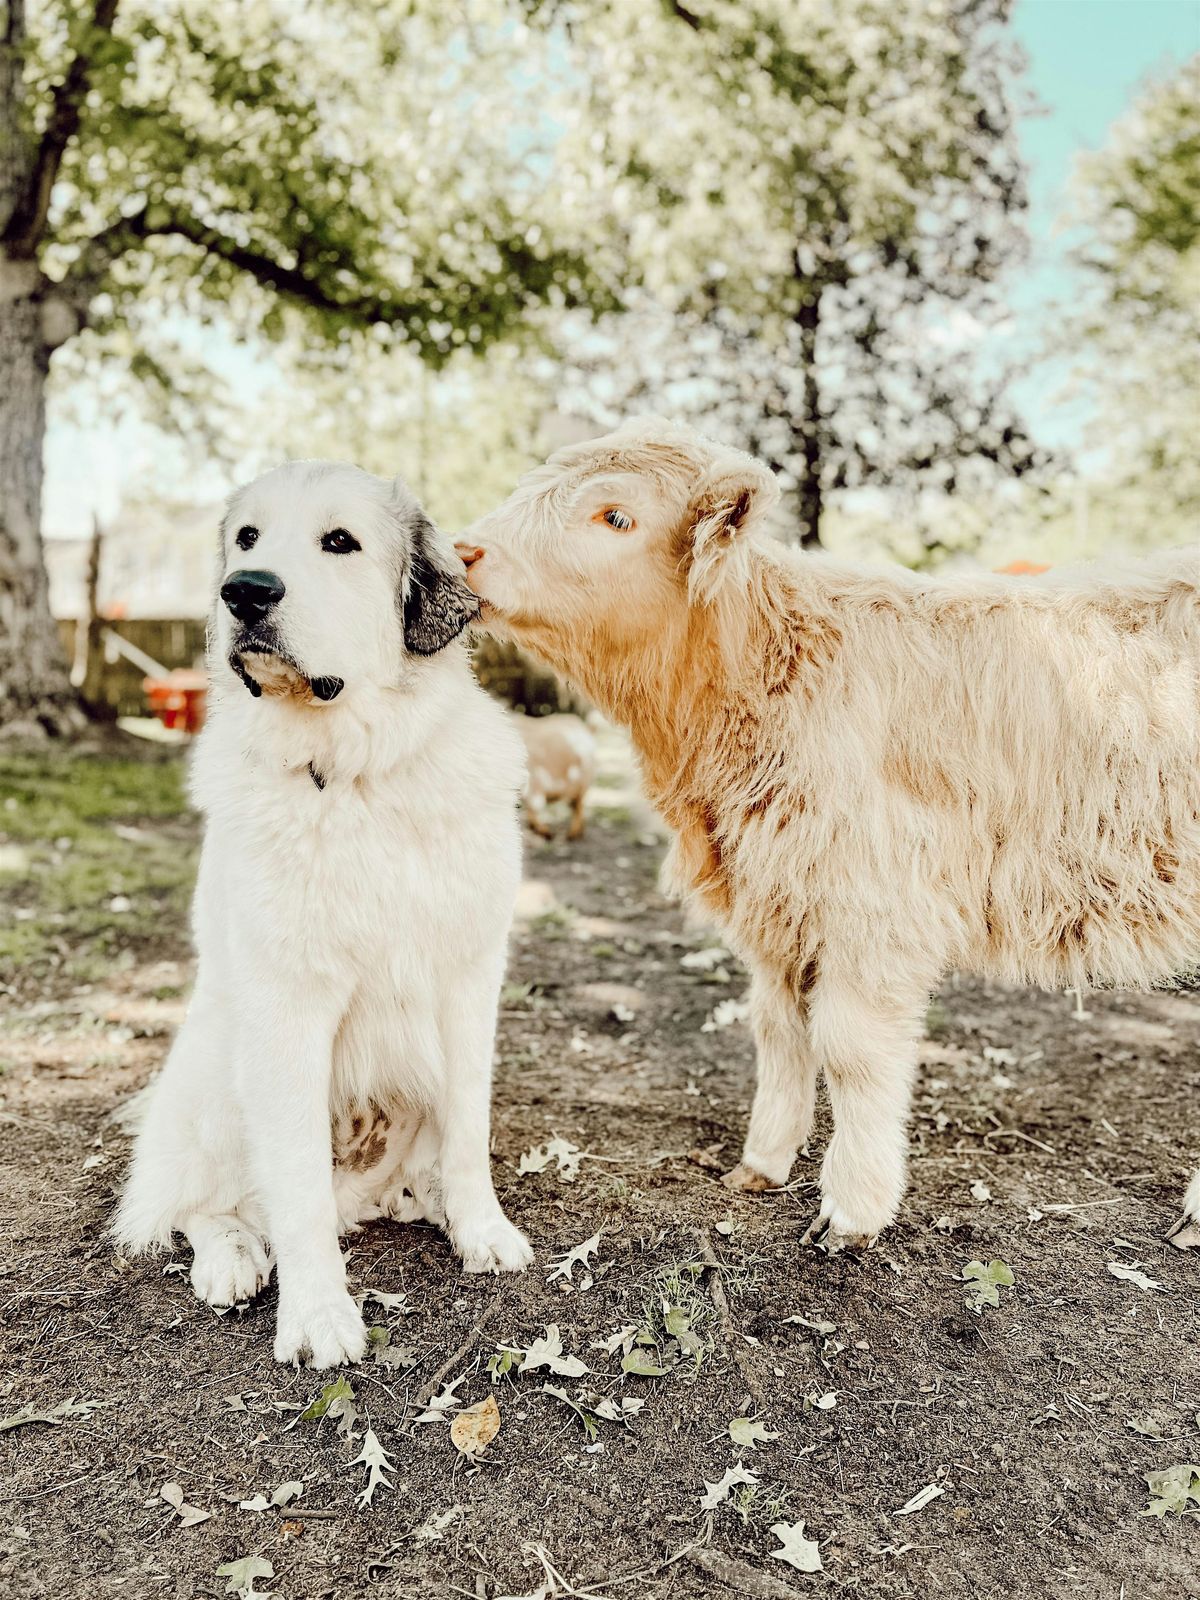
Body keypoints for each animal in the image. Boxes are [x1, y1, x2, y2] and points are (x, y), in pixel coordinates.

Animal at [116, 460, 531, 1363]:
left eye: (339, 542)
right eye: (247, 538)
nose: (245, 590)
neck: (356, 772)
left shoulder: (468, 983)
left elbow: (469, 1129)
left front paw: (480, 1229)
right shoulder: (285, 1006)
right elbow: (296, 1183)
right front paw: (316, 1313)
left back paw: (420, 1197)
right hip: (218, 1062)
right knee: (206, 1207)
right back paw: (232, 1261)